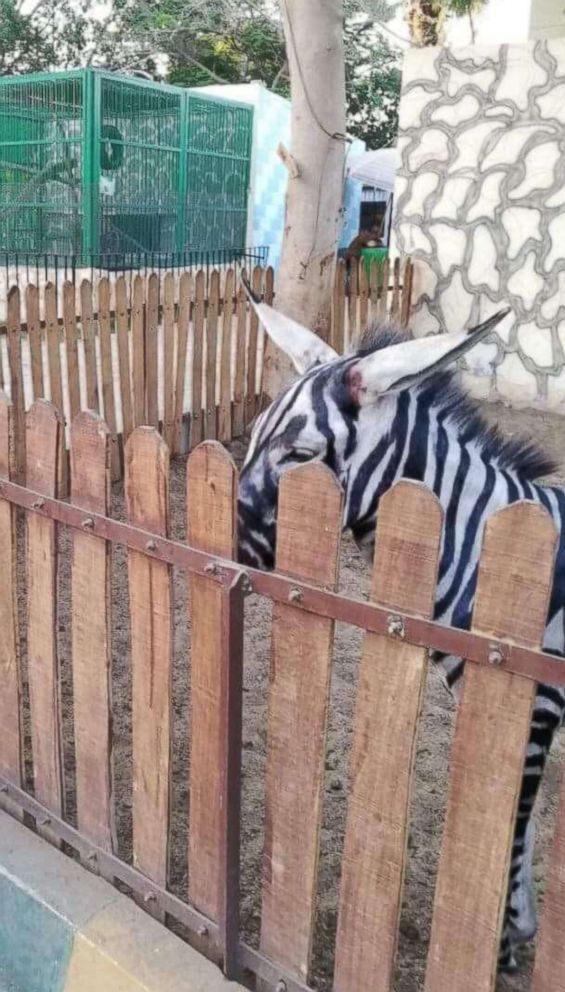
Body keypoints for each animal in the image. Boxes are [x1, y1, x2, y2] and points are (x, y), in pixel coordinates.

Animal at [237, 280, 564, 976]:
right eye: (249, 437)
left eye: (301, 457)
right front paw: (514, 931)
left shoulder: (533, 706)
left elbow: (511, 816)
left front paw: (506, 938)